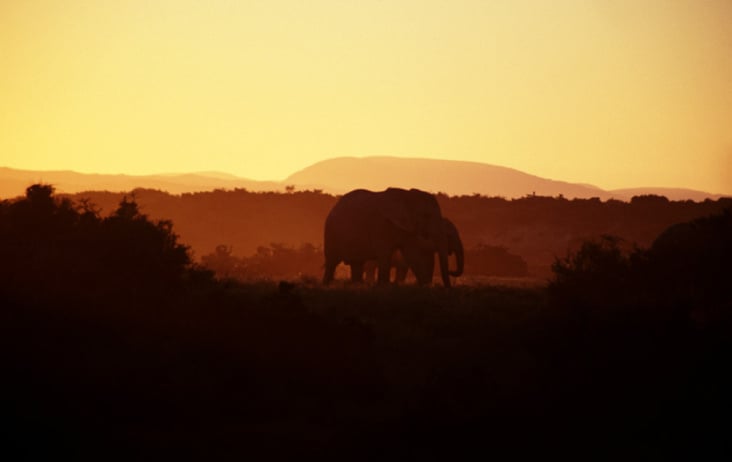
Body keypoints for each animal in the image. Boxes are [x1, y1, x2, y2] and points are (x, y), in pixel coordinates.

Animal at [324, 187, 452, 286]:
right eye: (427, 215)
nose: (446, 287)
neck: (407, 196)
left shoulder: (407, 228)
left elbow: (412, 254)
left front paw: (424, 285)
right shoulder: (381, 225)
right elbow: (384, 253)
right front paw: (383, 286)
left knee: (357, 264)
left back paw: (356, 285)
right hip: (332, 231)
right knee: (331, 261)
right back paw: (327, 285)